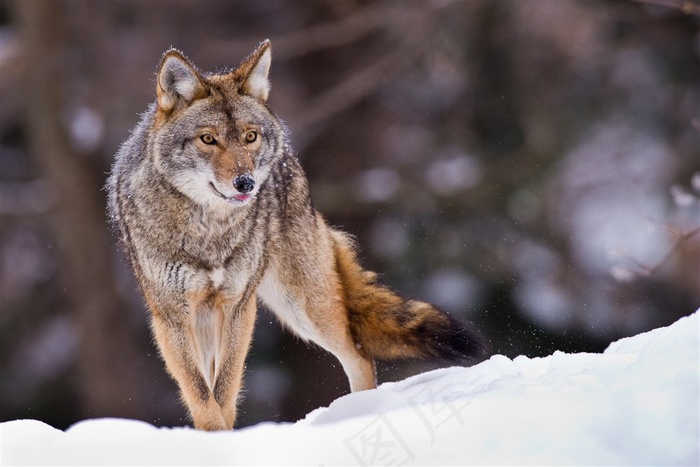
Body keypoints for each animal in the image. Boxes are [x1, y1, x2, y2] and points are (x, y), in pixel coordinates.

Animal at [106, 41, 484, 432]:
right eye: (208, 139)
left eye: (250, 137)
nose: (246, 183)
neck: (209, 229)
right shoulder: (173, 316)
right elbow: (202, 393)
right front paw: (215, 436)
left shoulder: (238, 306)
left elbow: (224, 389)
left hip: (304, 307)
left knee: (359, 356)